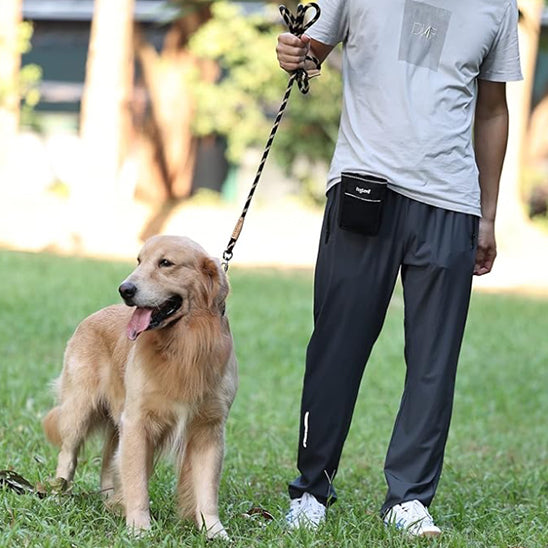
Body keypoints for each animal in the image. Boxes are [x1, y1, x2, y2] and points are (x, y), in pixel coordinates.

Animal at [41, 234, 239, 540]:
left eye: (165, 263)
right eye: (138, 261)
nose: (125, 289)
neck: (182, 347)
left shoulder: (209, 429)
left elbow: (206, 491)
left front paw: (214, 531)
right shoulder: (137, 422)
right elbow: (137, 483)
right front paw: (139, 528)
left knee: (107, 462)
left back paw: (110, 503)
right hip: (79, 410)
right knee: (68, 455)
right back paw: (59, 495)